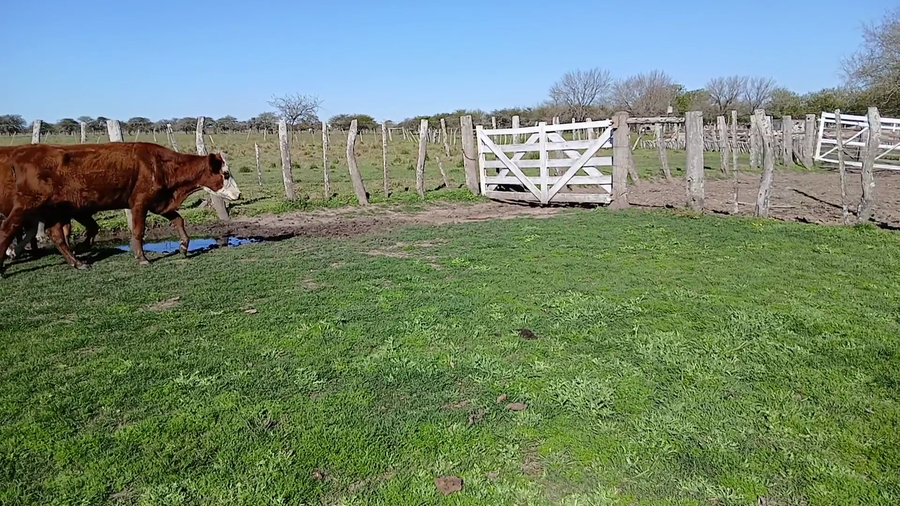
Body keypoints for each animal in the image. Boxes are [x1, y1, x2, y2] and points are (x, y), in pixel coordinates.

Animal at [0, 142, 240, 276]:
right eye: (225, 173)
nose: (238, 194)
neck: (159, 164)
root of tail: (21, 154)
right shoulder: (139, 203)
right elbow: (138, 231)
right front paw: (141, 257)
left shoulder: (159, 203)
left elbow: (178, 220)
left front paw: (183, 246)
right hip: (27, 206)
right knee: (8, 229)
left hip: (53, 210)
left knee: (56, 235)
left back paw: (77, 262)